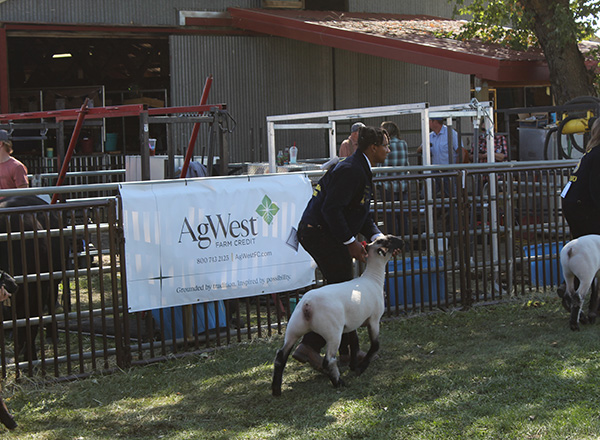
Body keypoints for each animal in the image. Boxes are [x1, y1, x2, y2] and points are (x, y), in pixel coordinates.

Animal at [272, 235, 404, 398]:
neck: (373, 278)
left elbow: (354, 342)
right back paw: (338, 383)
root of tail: (308, 305)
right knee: (328, 360)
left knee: (280, 356)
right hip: (333, 332)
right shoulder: (373, 320)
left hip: (294, 328)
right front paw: (361, 368)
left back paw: (276, 389)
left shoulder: (351, 324)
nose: (402, 241)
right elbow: (375, 345)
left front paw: (354, 365)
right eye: (388, 240)